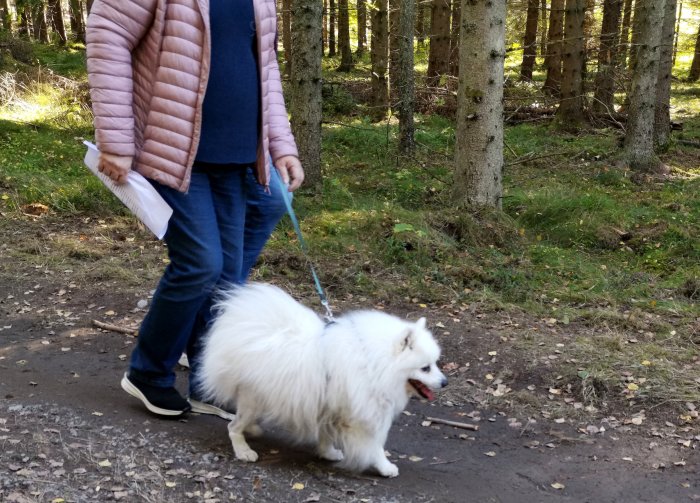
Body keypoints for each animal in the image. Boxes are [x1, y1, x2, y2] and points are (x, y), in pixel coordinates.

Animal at [196, 284, 448, 476]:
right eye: (425, 368)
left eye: (436, 363)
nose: (445, 382)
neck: (375, 363)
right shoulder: (363, 416)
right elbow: (375, 445)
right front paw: (385, 467)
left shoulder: (331, 406)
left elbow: (327, 434)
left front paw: (328, 453)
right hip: (254, 398)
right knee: (233, 427)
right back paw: (243, 451)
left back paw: (252, 430)